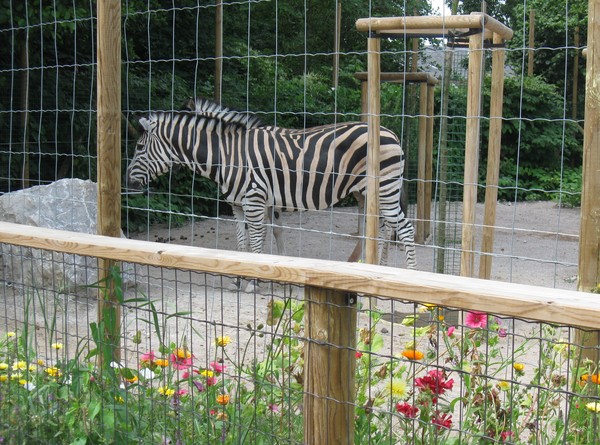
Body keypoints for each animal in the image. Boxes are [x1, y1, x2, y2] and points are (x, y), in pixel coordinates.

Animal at [126, 98, 418, 268]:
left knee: (404, 229)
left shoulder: (254, 200)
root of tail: (390, 132)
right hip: (372, 193)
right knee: (384, 228)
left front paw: (253, 282)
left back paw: (410, 275)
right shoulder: (240, 205)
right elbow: (243, 243)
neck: (228, 157)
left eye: (139, 147)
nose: (128, 182)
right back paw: (378, 268)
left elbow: (256, 242)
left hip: (384, 189)